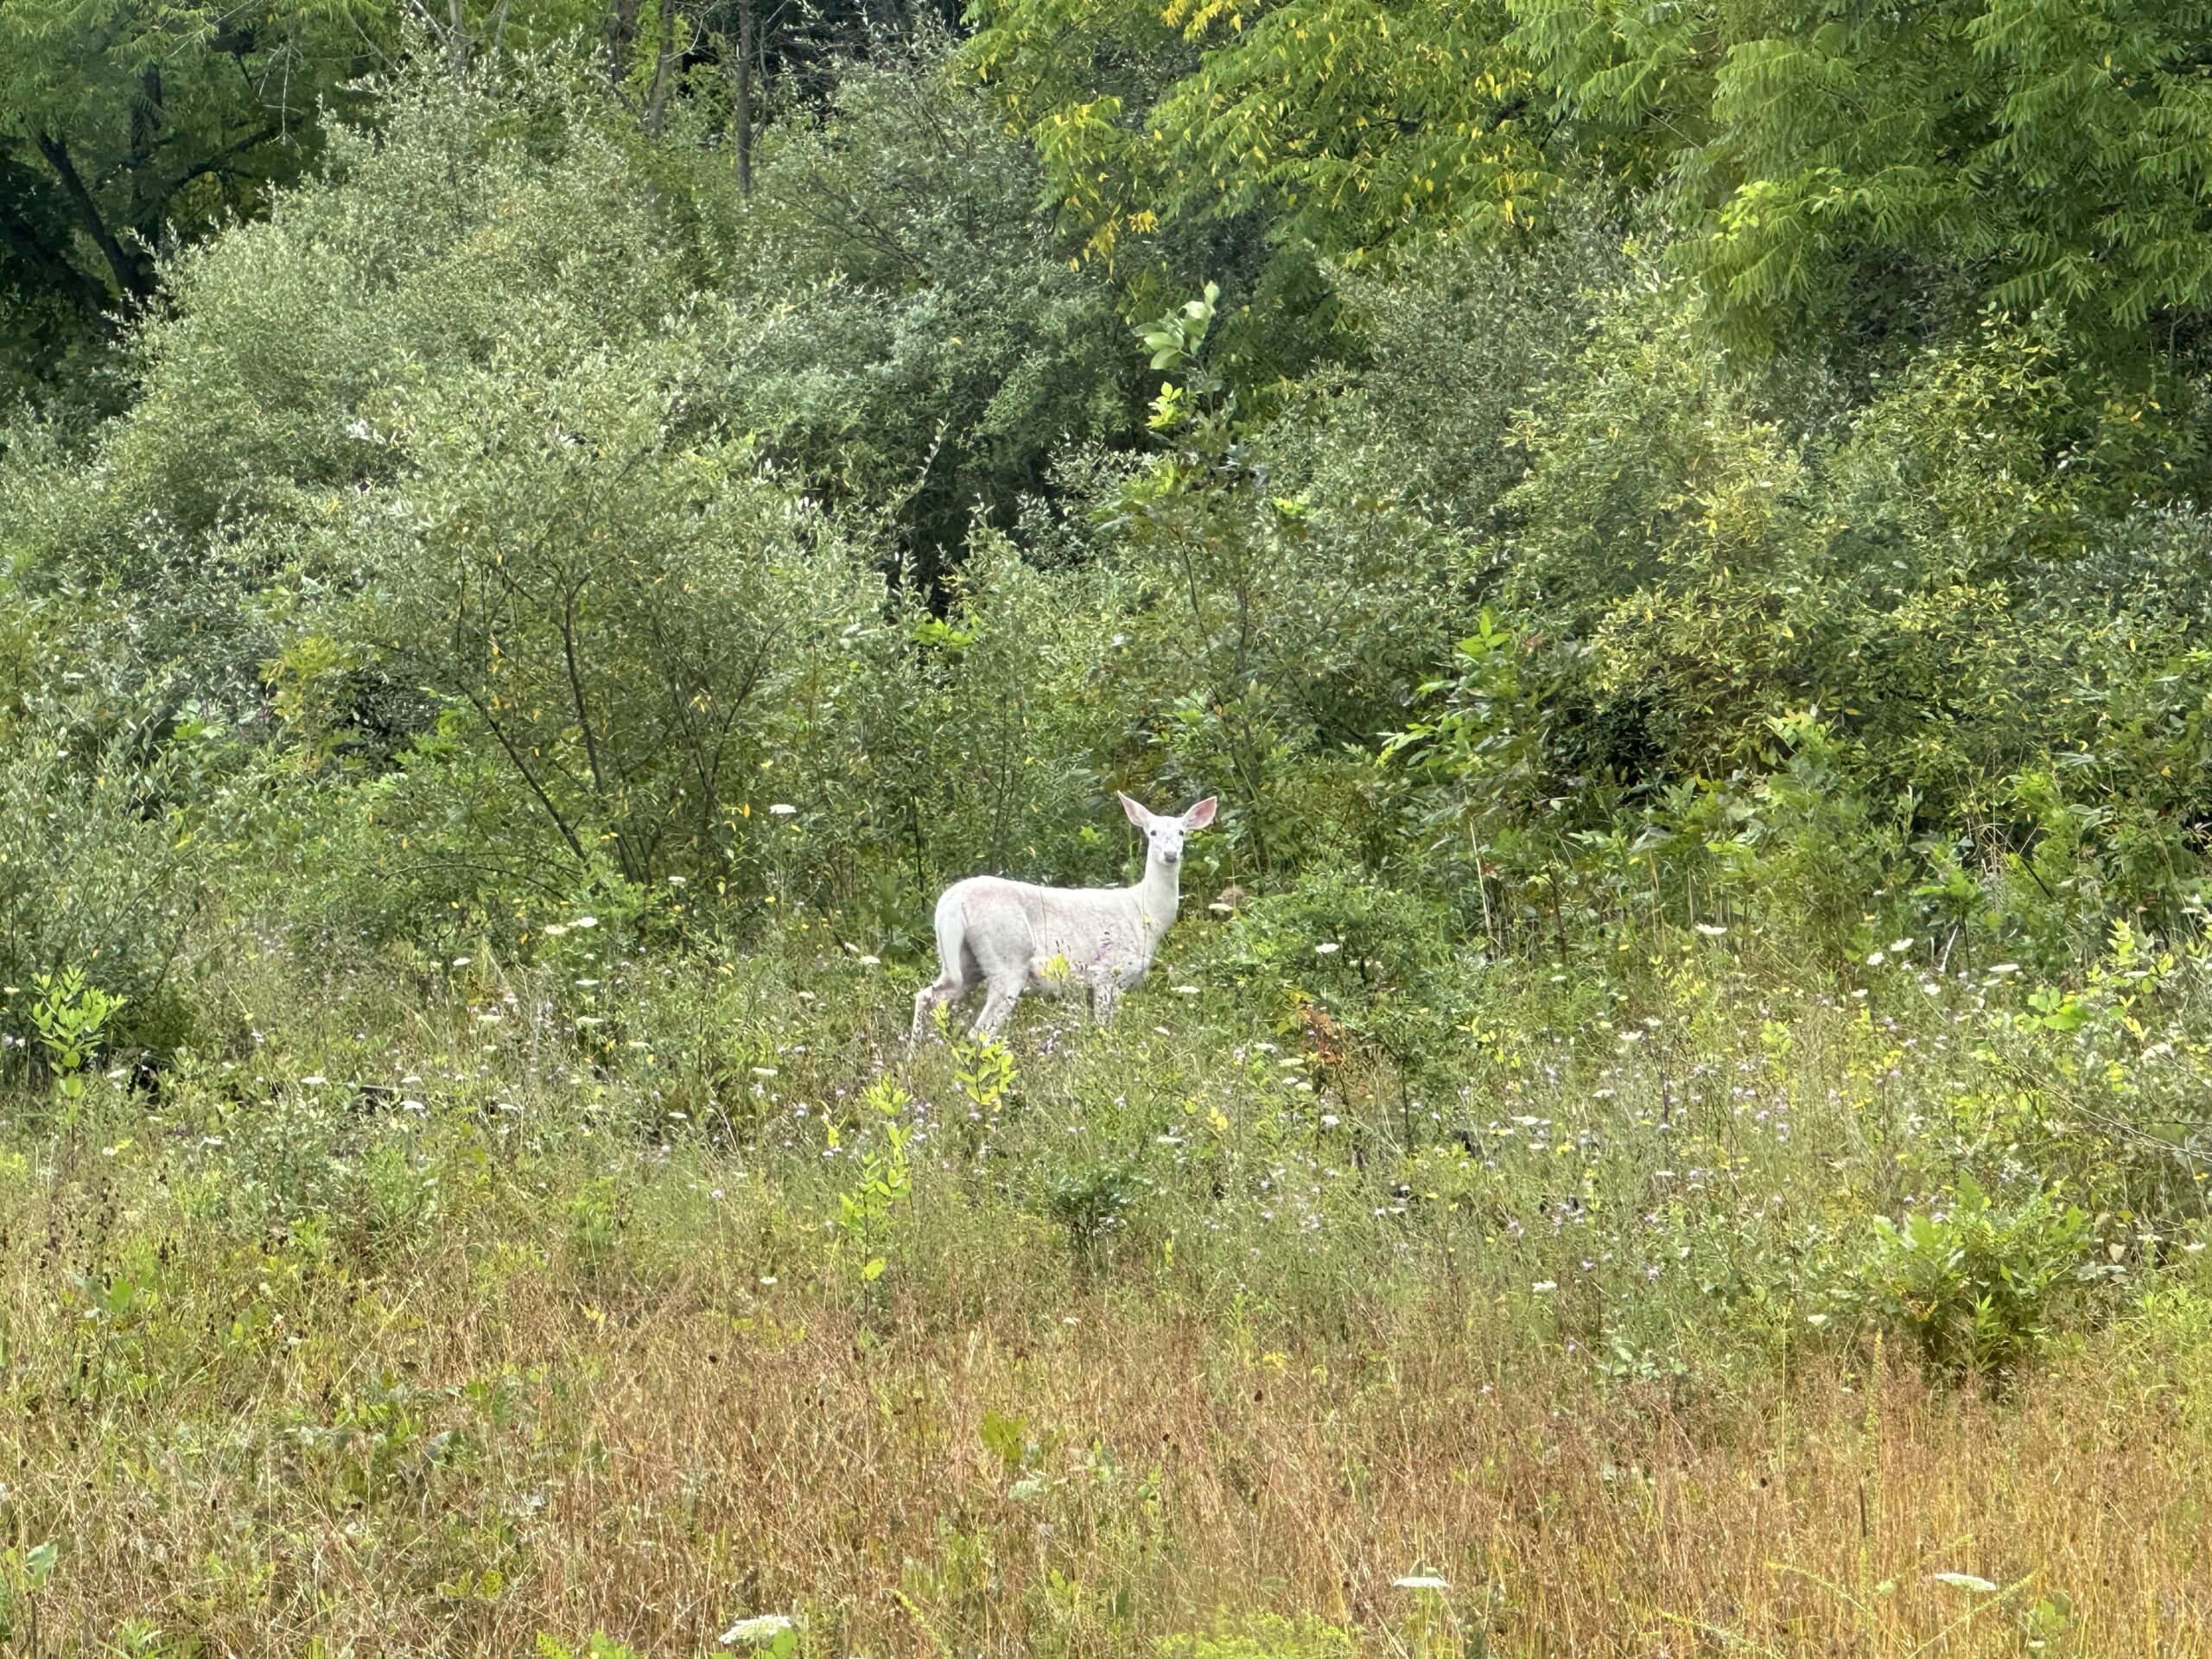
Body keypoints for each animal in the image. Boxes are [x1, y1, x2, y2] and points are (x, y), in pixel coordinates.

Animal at [915, 796, 1230, 1052]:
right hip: (1007, 956)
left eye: (1181, 832)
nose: (1170, 855)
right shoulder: (1107, 973)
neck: (1145, 914)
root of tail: (951, 902)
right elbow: (1104, 1029)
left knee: (930, 996)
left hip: (964, 960)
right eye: (1152, 832)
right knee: (979, 1031)